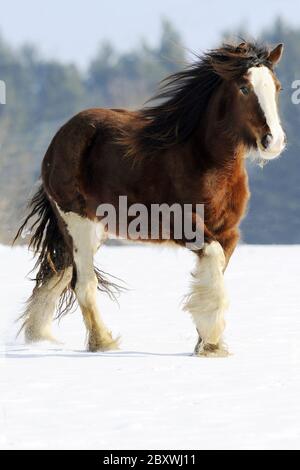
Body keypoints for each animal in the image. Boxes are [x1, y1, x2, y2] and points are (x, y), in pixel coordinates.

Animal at [14, 41, 286, 356]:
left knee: (60, 274)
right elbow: (213, 264)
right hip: (77, 222)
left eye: (277, 87)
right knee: (83, 283)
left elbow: (214, 272)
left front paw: (206, 343)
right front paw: (212, 342)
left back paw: (39, 336)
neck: (206, 161)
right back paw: (102, 342)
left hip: (92, 230)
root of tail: (59, 138)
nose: (273, 141)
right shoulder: (184, 225)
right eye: (244, 88)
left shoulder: (228, 232)